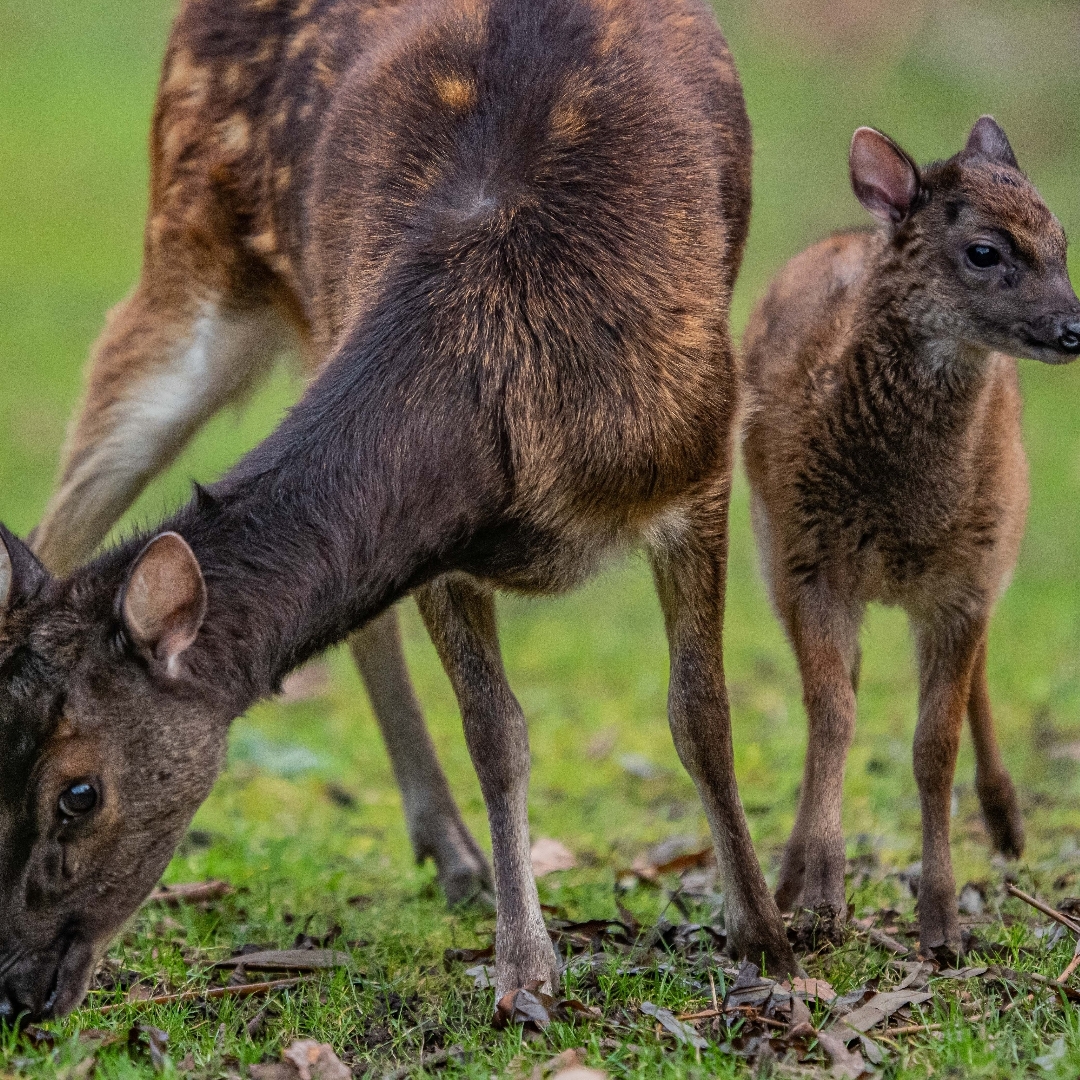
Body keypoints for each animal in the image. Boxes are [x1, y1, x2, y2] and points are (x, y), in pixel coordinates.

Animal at [0, 0, 801, 1023]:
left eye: (80, 793)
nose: (12, 992)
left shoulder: (699, 453)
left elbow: (701, 714)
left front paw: (767, 938)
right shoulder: (445, 555)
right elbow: (496, 733)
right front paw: (526, 972)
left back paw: (454, 855)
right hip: (184, 253)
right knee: (62, 519)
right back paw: (452, 851)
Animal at [741, 116, 1080, 957]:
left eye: (1061, 239)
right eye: (985, 251)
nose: (1074, 329)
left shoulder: (966, 579)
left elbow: (934, 745)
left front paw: (944, 922)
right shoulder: (808, 561)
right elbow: (833, 714)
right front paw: (820, 895)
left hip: (996, 540)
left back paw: (1007, 822)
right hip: (770, 541)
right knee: (841, 687)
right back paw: (789, 876)